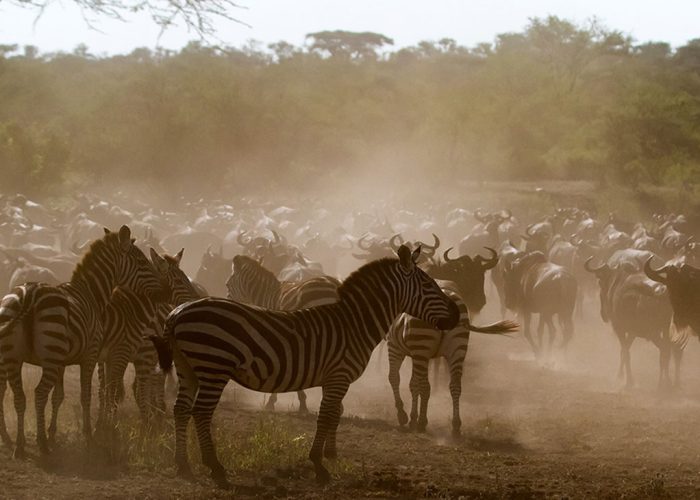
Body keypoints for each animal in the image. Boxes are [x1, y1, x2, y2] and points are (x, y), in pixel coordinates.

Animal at [0, 226, 164, 458]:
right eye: (141, 261)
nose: (163, 292)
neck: (92, 293)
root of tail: (29, 295)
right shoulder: (90, 354)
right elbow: (86, 395)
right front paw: (89, 435)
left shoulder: (62, 361)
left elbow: (58, 396)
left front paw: (53, 432)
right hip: (48, 356)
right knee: (38, 394)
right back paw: (41, 444)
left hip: (13, 357)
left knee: (18, 397)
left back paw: (19, 445)